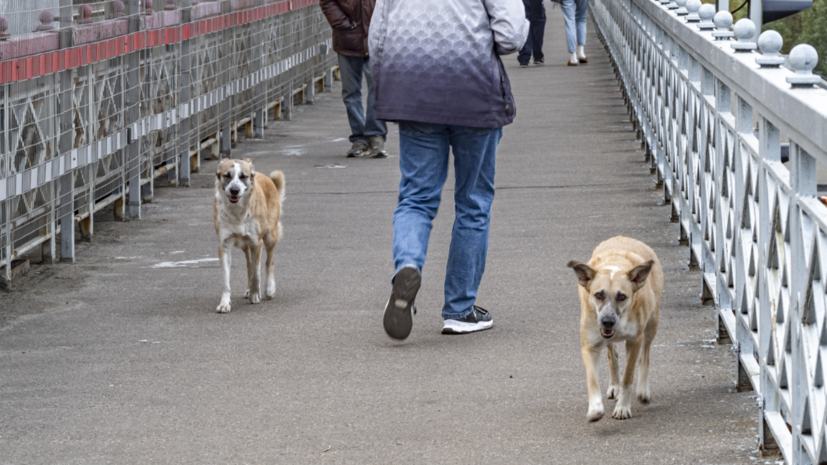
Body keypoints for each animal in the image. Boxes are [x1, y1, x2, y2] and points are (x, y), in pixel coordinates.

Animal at [213, 158, 284, 314]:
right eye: (227, 175)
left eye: (243, 176)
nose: (234, 190)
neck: (237, 211)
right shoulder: (224, 246)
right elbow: (226, 280)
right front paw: (225, 303)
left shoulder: (256, 242)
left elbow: (256, 273)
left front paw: (255, 295)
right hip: (245, 246)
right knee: (249, 265)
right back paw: (249, 289)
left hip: (270, 236)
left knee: (269, 261)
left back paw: (269, 289)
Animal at [568, 236, 664, 420]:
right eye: (598, 295)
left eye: (621, 297)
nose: (607, 321)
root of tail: (624, 237)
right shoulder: (590, 345)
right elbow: (592, 379)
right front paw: (595, 409)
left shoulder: (635, 340)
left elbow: (628, 376)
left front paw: (623, 407)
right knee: (613, 356)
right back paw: (614, 386)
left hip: (651, 324)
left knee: (645, 356)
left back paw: (642, 390)